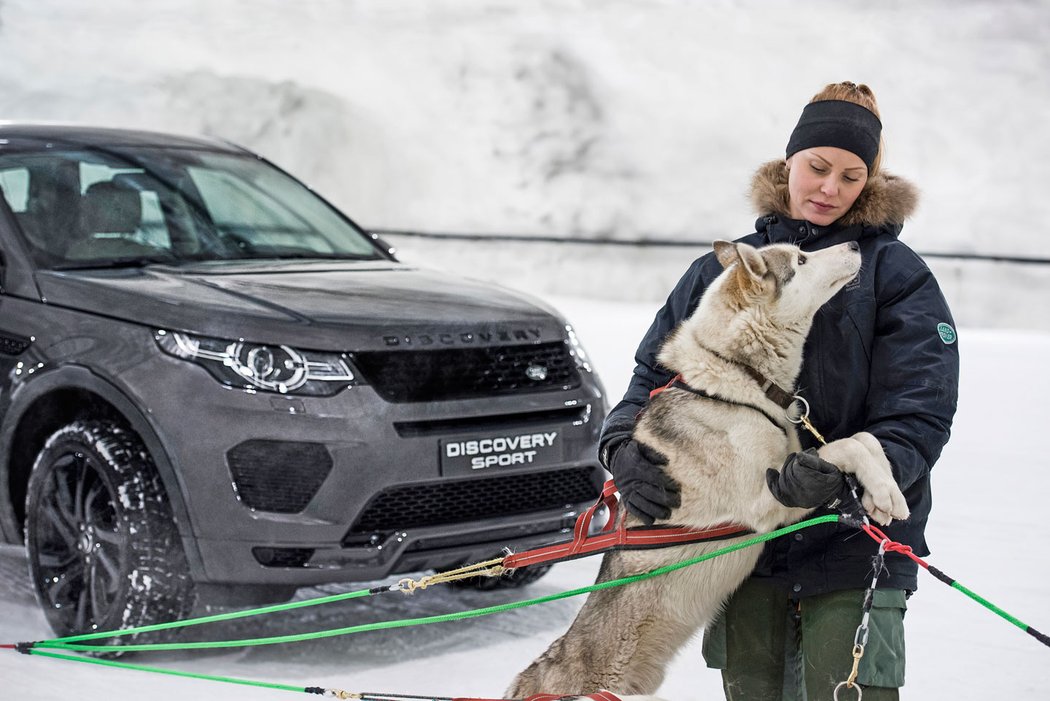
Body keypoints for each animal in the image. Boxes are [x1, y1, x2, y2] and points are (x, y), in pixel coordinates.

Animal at [503, 239, 907, 696]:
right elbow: (842, 448)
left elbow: (864, 440)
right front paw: (882, 493)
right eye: (801, 260)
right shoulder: (768, 501)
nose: (855, 243)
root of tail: (529, 676)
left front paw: (886, 491)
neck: (739, 375)